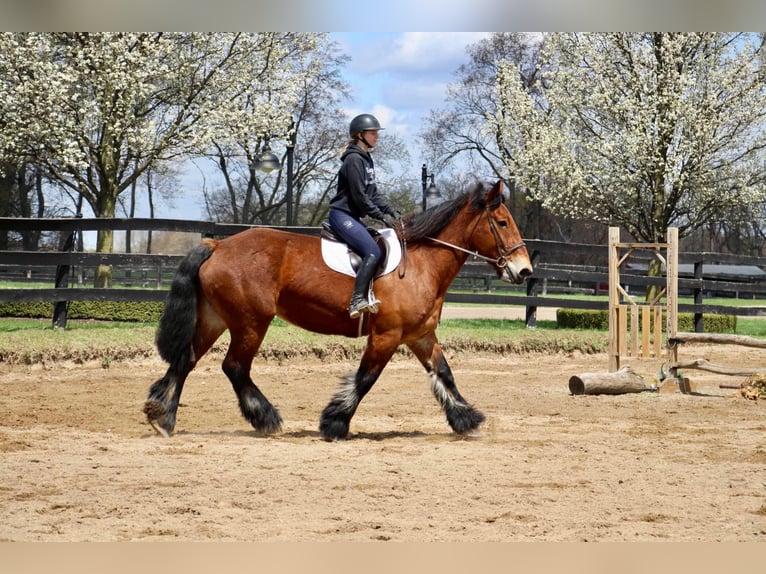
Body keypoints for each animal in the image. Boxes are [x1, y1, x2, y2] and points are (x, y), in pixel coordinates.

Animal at [147, 180, 536, 440]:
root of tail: (219, 245)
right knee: (235, 367)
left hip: (215, 318)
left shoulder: (421, 336)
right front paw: (334, 423)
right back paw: (265, 418)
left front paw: (465, 419)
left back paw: (162, 416)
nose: (524, 271)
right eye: (502, 222)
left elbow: (445, 374)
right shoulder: (386, 336)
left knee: (186, 360)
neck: (422, 263)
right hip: (251, 322)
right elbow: (365, 379)